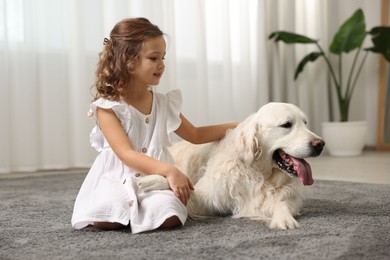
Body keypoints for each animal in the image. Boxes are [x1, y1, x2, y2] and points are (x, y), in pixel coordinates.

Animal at [139, 102, 324, 230]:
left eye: (305, 123)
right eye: (286, 124)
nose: (320, 144)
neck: (260, 174)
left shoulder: (289, 196)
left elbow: (282, 203)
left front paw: (284, 219)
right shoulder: (205, 197)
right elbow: (185, 185)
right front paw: (154, 181)